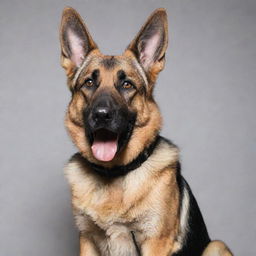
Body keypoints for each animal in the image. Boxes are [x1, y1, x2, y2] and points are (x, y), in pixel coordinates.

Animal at [59, 7, 233, 255]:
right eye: (89, 83)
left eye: (127, 85)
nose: (101, 115)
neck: (113, 173)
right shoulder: (87, 240)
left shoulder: (155, 242)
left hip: (216, 245)